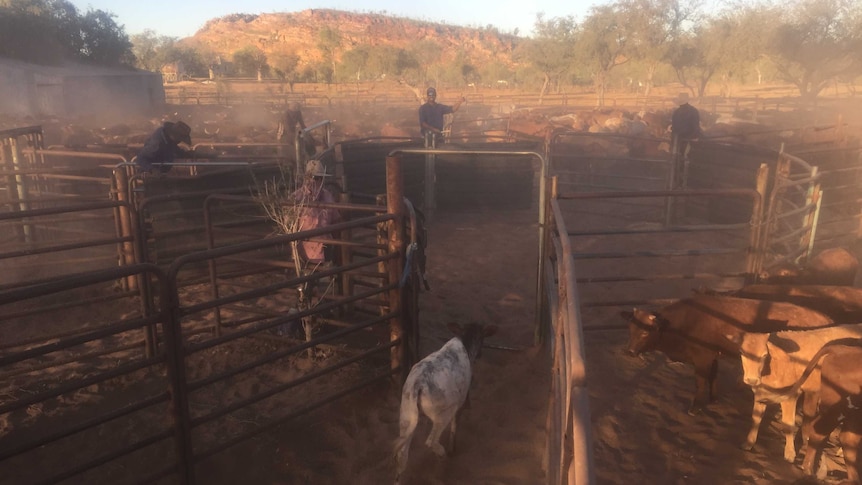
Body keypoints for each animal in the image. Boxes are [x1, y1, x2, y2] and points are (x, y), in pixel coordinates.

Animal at [394, 322, 496, 480]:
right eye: (483, 337)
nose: (480, 354)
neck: (465, 342)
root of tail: (418, 383)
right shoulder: (459, 403)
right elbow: (455, 426)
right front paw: (451, 449)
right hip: (443, 414)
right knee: (431, 441)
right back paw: (442, 455)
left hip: (406, 415)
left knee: (402, 455)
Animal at [628, 294, 836, 414]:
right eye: (631, 328)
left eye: (646, 332)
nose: (630, 351)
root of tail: (825, 317)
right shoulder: (712, 356)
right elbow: (713, 377)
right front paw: (713, 398)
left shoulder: (702, 357)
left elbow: (700, 382)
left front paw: (695, 406)